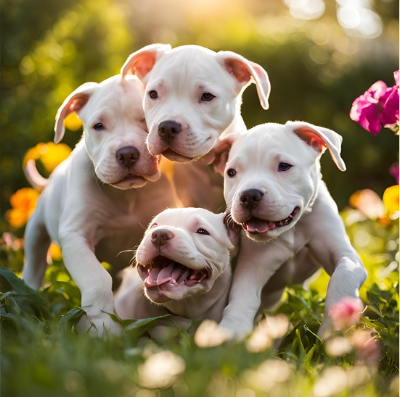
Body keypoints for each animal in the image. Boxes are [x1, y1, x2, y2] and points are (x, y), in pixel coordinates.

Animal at [22, 73, 177, 334]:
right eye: (98, 126)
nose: (127, 153)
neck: (126, 195)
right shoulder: (75, 236)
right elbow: (97, 278)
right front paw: (104, 328)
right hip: (36, 230)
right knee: (34, 264)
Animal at [212, 120, 368, 338]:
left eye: (284, 166)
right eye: (232, 172)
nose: (249, 195)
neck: (295, 226)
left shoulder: (345, 253)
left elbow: (344, 274)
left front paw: (333, 327)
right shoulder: (254, 264)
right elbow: (242, 295)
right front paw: (232, 330)